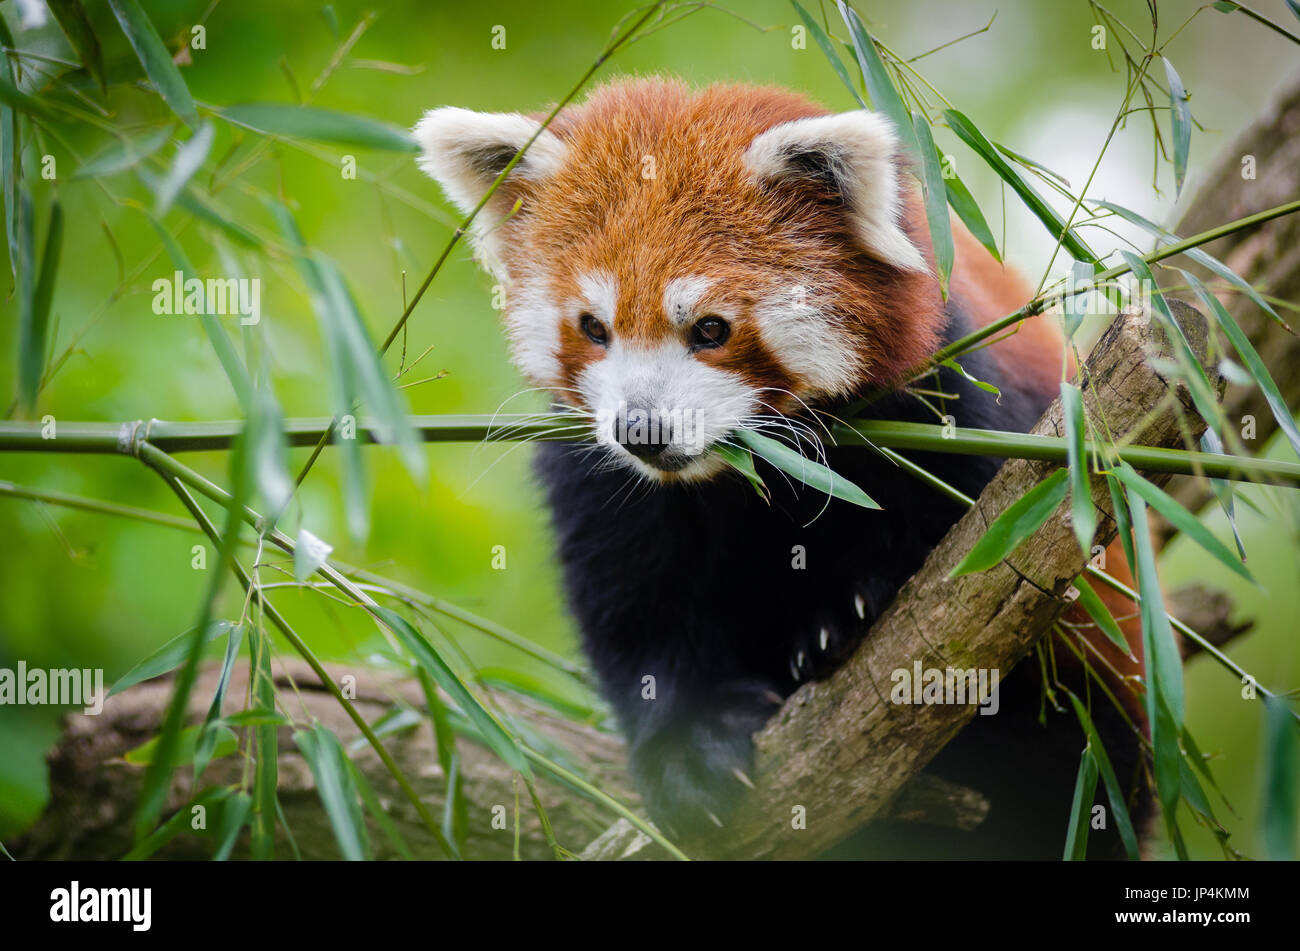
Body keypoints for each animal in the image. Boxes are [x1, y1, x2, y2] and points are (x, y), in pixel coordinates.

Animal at [416, 79, 1149, 852]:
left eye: (710, 329)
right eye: (594, 327)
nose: (643, 430)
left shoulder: (959, 405)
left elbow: (975, 548)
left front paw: (848, 611)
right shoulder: (600, 478)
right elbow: (635, 611)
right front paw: (689, 748)